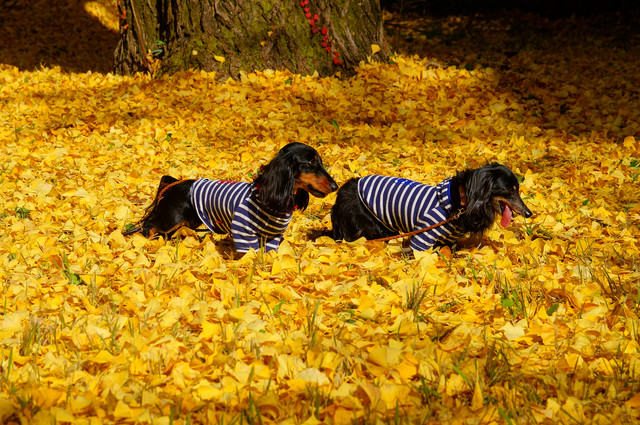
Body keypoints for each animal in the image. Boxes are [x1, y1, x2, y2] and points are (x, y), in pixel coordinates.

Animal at [123, 142, 337, 253]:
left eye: (320, 161)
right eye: (310, 163)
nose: (335, 186)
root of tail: (173, 185)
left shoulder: (273, 235)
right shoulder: (243, 231)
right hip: (171, 219)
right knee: (149, 225)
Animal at [328, 163, 532, 251]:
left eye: (517, 188)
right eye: (509, 190)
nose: (529, 213)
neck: (461, 201)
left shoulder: (449, 242)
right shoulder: (423, 236)